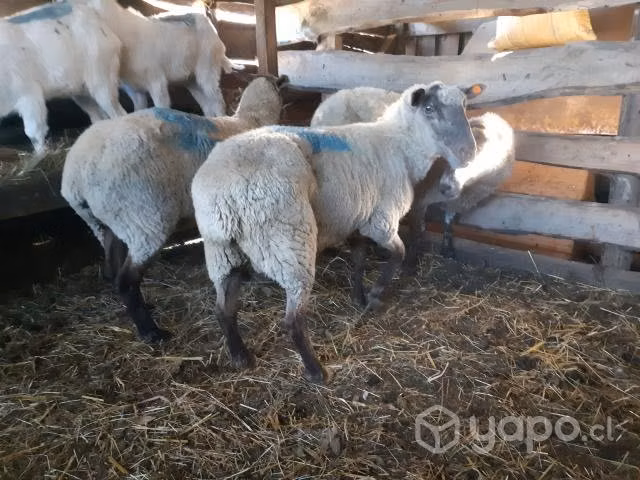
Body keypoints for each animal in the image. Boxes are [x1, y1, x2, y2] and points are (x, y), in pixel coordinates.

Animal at [0, 1, 126, 164]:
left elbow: (34, 132)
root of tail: (91, 11)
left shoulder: (29, 96)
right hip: (82, 93)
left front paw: (38, 158)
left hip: (103, 82)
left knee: (119, 114)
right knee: (98, 118)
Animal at [60, 76, 284, 343]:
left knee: (112, 267)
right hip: (144, 220)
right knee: (126, 280)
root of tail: (76, 177)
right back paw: (151, 332)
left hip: (108, 221)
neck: (250, 120)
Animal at [76, 0, 233, 117]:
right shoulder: (135, 89)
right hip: (190, 79)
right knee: (206, 103)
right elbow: (138, 110)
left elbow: (161, 106)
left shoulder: (157, 81)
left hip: (208, 68)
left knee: (217, 100)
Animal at [191, 81, 483, 383]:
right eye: (429, 108)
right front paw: (376, 294)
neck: (399, 145)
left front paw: (360, 297)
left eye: (465, 106)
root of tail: (224, 194)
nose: (469, 152)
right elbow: (398, 255)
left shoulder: (356, 219)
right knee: (292, 320)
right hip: (288, 242)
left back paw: (240, 356)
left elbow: (359, 261)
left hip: (223, 251)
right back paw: (315, 370)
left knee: (223, 309)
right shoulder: (381, 219)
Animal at [311, 86, 515, 271]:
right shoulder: (420, 199)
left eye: (483, 157)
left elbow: (448, 221)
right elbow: (418, 231)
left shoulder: (457, 202)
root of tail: (335, 96)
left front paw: (448, 249)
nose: (446, 187)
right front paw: (410, 263)